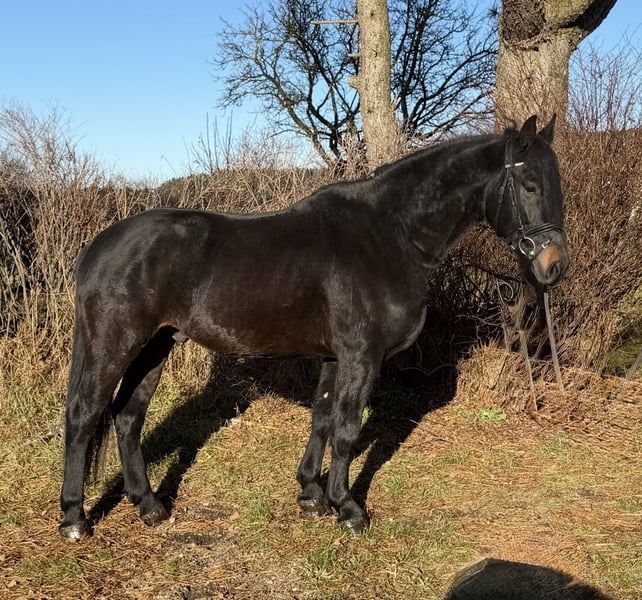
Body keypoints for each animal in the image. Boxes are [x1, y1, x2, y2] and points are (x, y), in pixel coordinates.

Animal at [59, 115, 568, 540]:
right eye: (528, 184)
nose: (554, 266)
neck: (390, 235)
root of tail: (97, 246)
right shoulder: (362, 356)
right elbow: (346, 428)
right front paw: (348, 507)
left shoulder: (332, 355)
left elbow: (322, 419)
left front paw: (311, 494)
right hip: (115, 344)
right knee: (84, 416)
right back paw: (74, 519)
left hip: (156, 345)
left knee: (128, 415)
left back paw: (148, 505)